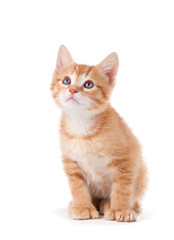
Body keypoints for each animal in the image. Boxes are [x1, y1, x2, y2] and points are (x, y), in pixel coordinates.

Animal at [51, 44, 147, 221]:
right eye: (66, 80)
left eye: (88, 84)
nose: (72, 90)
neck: (81, 127)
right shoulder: (70, 161)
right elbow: (77, 186)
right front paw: (82, 206)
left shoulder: (126, 157)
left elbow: (122, 185)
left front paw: (120, 209)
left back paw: (109, 204)